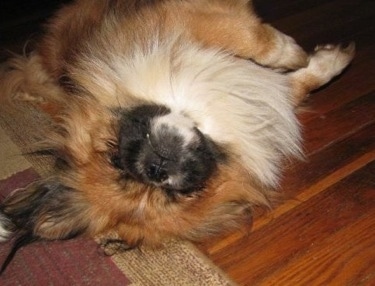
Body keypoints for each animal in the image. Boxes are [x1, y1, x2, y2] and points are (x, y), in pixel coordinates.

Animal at [0, 0, 356, 274]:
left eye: (115, 160)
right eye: (179, 194)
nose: (156, 170)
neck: (191, 106)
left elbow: (257, 41)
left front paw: (305, 56)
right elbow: (286, 77)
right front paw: (321, 59)